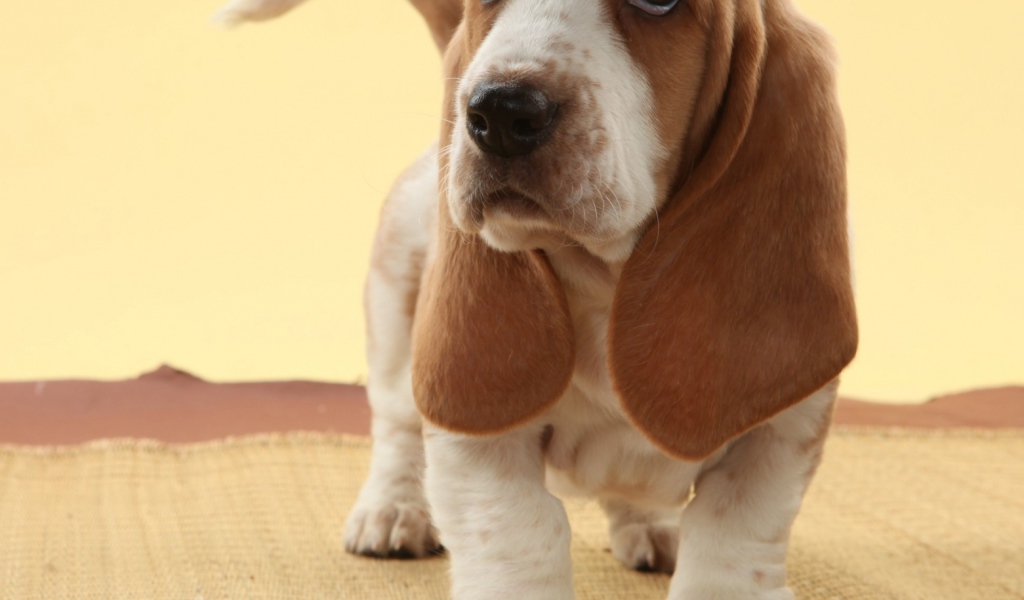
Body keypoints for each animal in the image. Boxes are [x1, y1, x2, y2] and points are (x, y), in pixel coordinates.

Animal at [218, 0, 857, 597]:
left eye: (659, 4)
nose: (498, 112)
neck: (607, 282)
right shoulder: (479, 430)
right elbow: (522, 535)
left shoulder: (784, 431)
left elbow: (733, 537)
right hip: (397, 305)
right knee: (396, 425)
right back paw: (392, 510)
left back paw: (649, 525)